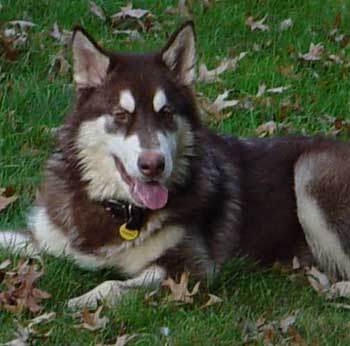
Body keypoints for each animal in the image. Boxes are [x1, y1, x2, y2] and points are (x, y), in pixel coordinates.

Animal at [2, 21, 350, 308]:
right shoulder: (49, 235)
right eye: (121, 115)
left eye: (166, 113)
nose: (153, 164)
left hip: (310, 171)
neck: (119, 212)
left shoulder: (191, 266)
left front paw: (84, 299)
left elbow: (114, 284)